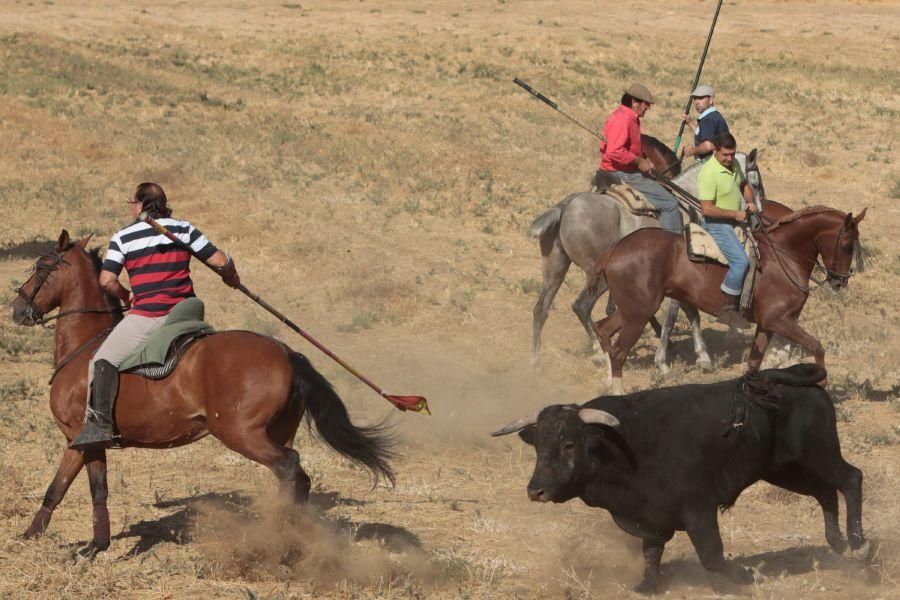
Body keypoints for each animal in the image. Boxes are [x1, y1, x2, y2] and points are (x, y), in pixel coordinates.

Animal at [7, 231, 394, 556]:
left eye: (40, 268)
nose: (16, 310)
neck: (86, 344)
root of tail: (287, 352)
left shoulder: (76, 436)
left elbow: (58, 487)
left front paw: (31, 537)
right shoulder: (92, 442)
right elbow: (95, 489)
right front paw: (93, 546)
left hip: (240, 433)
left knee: (289, 467)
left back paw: (277, 538)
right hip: (277, 430)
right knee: (296, 476)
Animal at [492, 364, 864, 592]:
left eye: (569, 443)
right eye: (538, 445)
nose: (535, 491)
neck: (621, 445)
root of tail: (781, 376)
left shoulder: (699, 510)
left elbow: (712, 556)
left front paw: (744, 575)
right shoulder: (649, 517)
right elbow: (651, 552)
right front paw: (647, 585)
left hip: (819, 455)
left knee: (850, 479)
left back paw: (858, 541)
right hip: (785, 469)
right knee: (824, 492)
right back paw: (836, 542)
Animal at [592, 206, 864, 394]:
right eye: (846, 244)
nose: (840, 282)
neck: (783, 257)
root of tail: (615, 250)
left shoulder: (767, 325)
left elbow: (753, 364)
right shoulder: (779, 321)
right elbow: (817, 346)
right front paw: (823, 381)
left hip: (632, 311)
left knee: (602, 329)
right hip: (638, 314)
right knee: (618, 351)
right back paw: (617, 392)